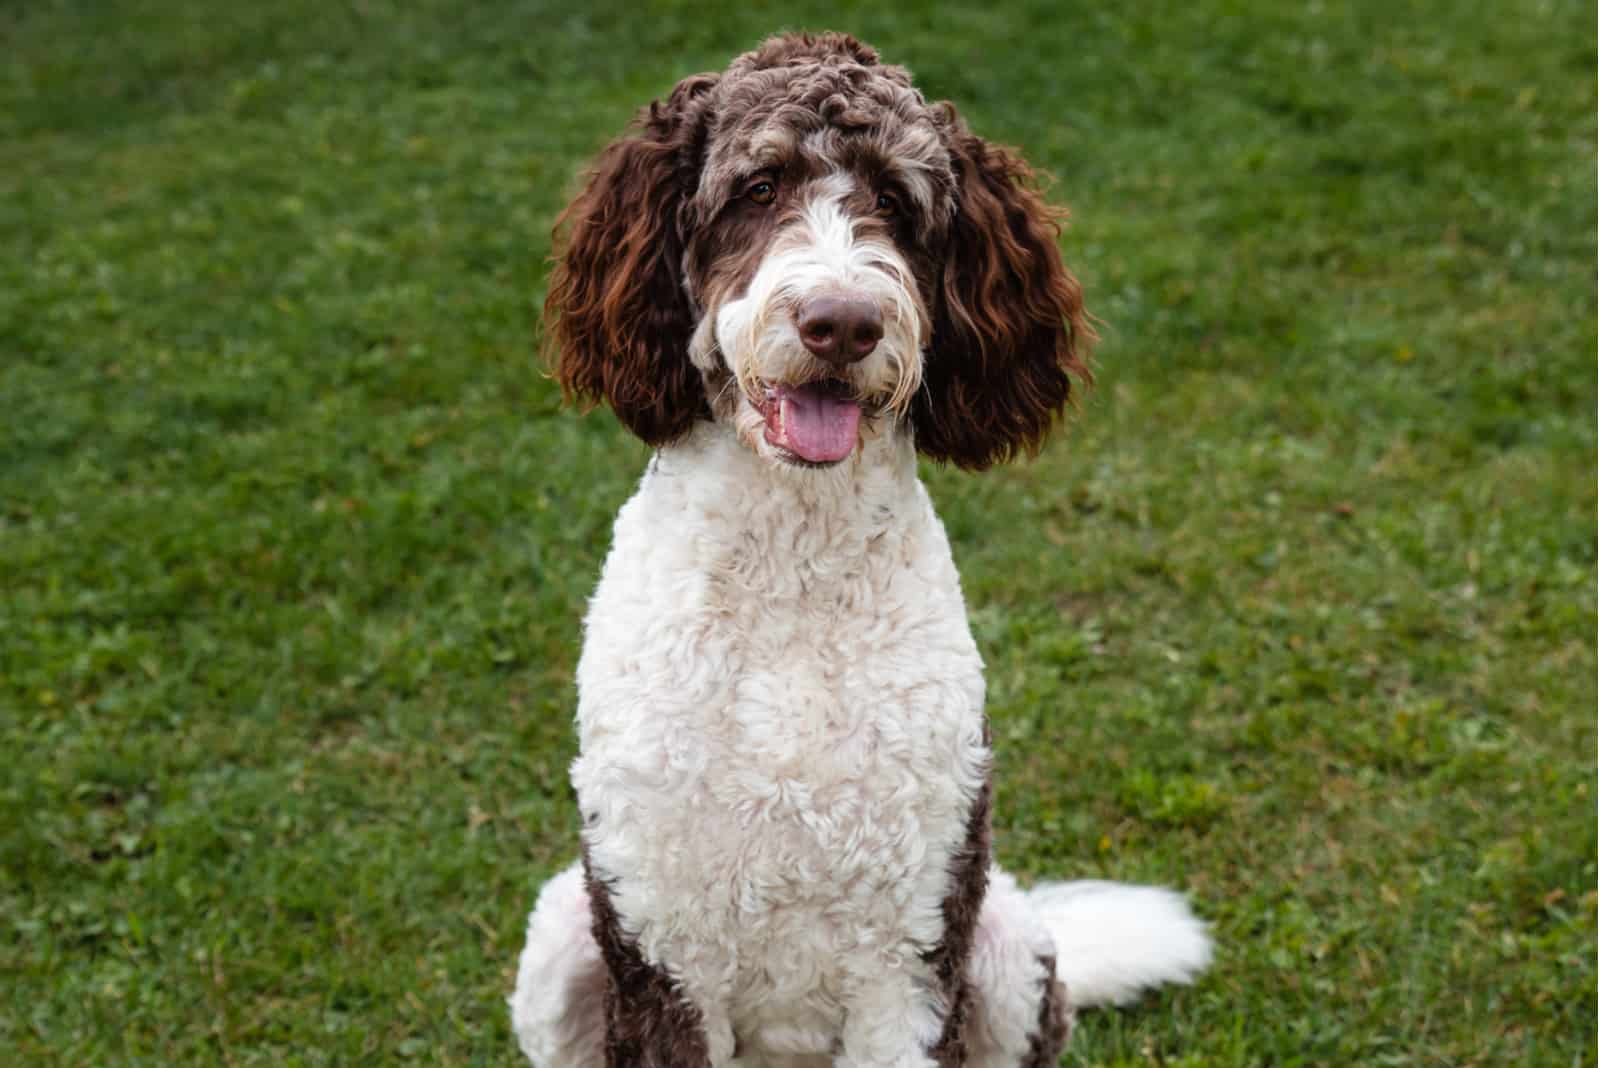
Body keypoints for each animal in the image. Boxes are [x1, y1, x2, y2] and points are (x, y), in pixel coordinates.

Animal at [505, 31, 1203, 1068]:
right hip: (560, 941)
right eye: (757, 189)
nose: (841, 322)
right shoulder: (661, 947)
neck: (792, 570)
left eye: (899, 204)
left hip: (1008, 948)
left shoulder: (913, 951)